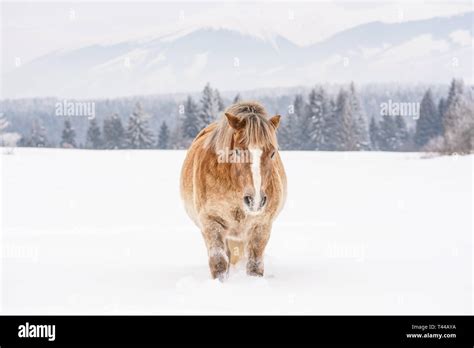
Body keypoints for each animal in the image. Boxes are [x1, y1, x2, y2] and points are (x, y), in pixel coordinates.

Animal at [180, 101, 286, 280]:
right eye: (237, 151)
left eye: (272, 153)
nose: (256, 201)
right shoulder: (211, 221)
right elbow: (219, 261)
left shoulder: (261, 224)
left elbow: (255, 265)